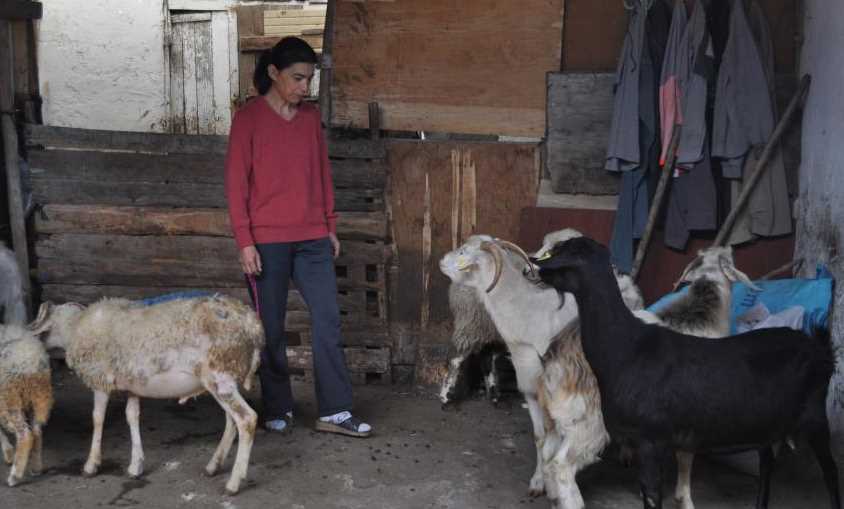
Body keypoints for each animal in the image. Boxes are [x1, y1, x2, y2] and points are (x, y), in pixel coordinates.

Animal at [0, 314, 53, 484]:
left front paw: (8, 453)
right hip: (36, 399)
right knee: (36, 431)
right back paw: (36, 468)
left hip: (10, 399)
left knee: (25, 435)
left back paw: (14, 476)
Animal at [36, 294, 264, 492]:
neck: (74, 328)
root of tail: (251, 324)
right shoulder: (132, 387)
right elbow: (132, 416)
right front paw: (135, 465)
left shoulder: (100, 380)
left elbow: (98, 419)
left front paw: (91, 464)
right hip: (225, 379)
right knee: (232, 421)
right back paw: (214, 465)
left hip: (219, 375)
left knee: (247, 419)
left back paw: (233, 482)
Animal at [532, 237, 840, 508]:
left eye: (560, 255)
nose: (531, 270)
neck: (628, 346)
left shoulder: (652, 440)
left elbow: (658, 490)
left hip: (814, 418)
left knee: (830, 473)